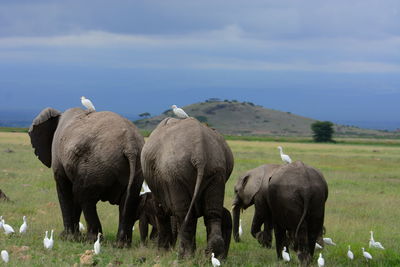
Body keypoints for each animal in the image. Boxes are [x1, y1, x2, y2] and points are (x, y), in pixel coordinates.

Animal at [29, 107, 145, 247]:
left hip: (95, 165)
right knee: (129, 200)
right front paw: (72, 236)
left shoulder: (58, 155)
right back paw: (121, 245)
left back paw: (91, 240)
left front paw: (66, 237)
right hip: (136, 166)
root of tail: (130, 145)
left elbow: (65, 190)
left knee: (84, 196)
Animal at [141, 118, 233, 260]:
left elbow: (161, 211)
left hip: (175, 174)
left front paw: (162, 253)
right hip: (216, 170)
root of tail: (200, 154)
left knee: (184, 215)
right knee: (212, 214)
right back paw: (211, 254)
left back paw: (184, 257)